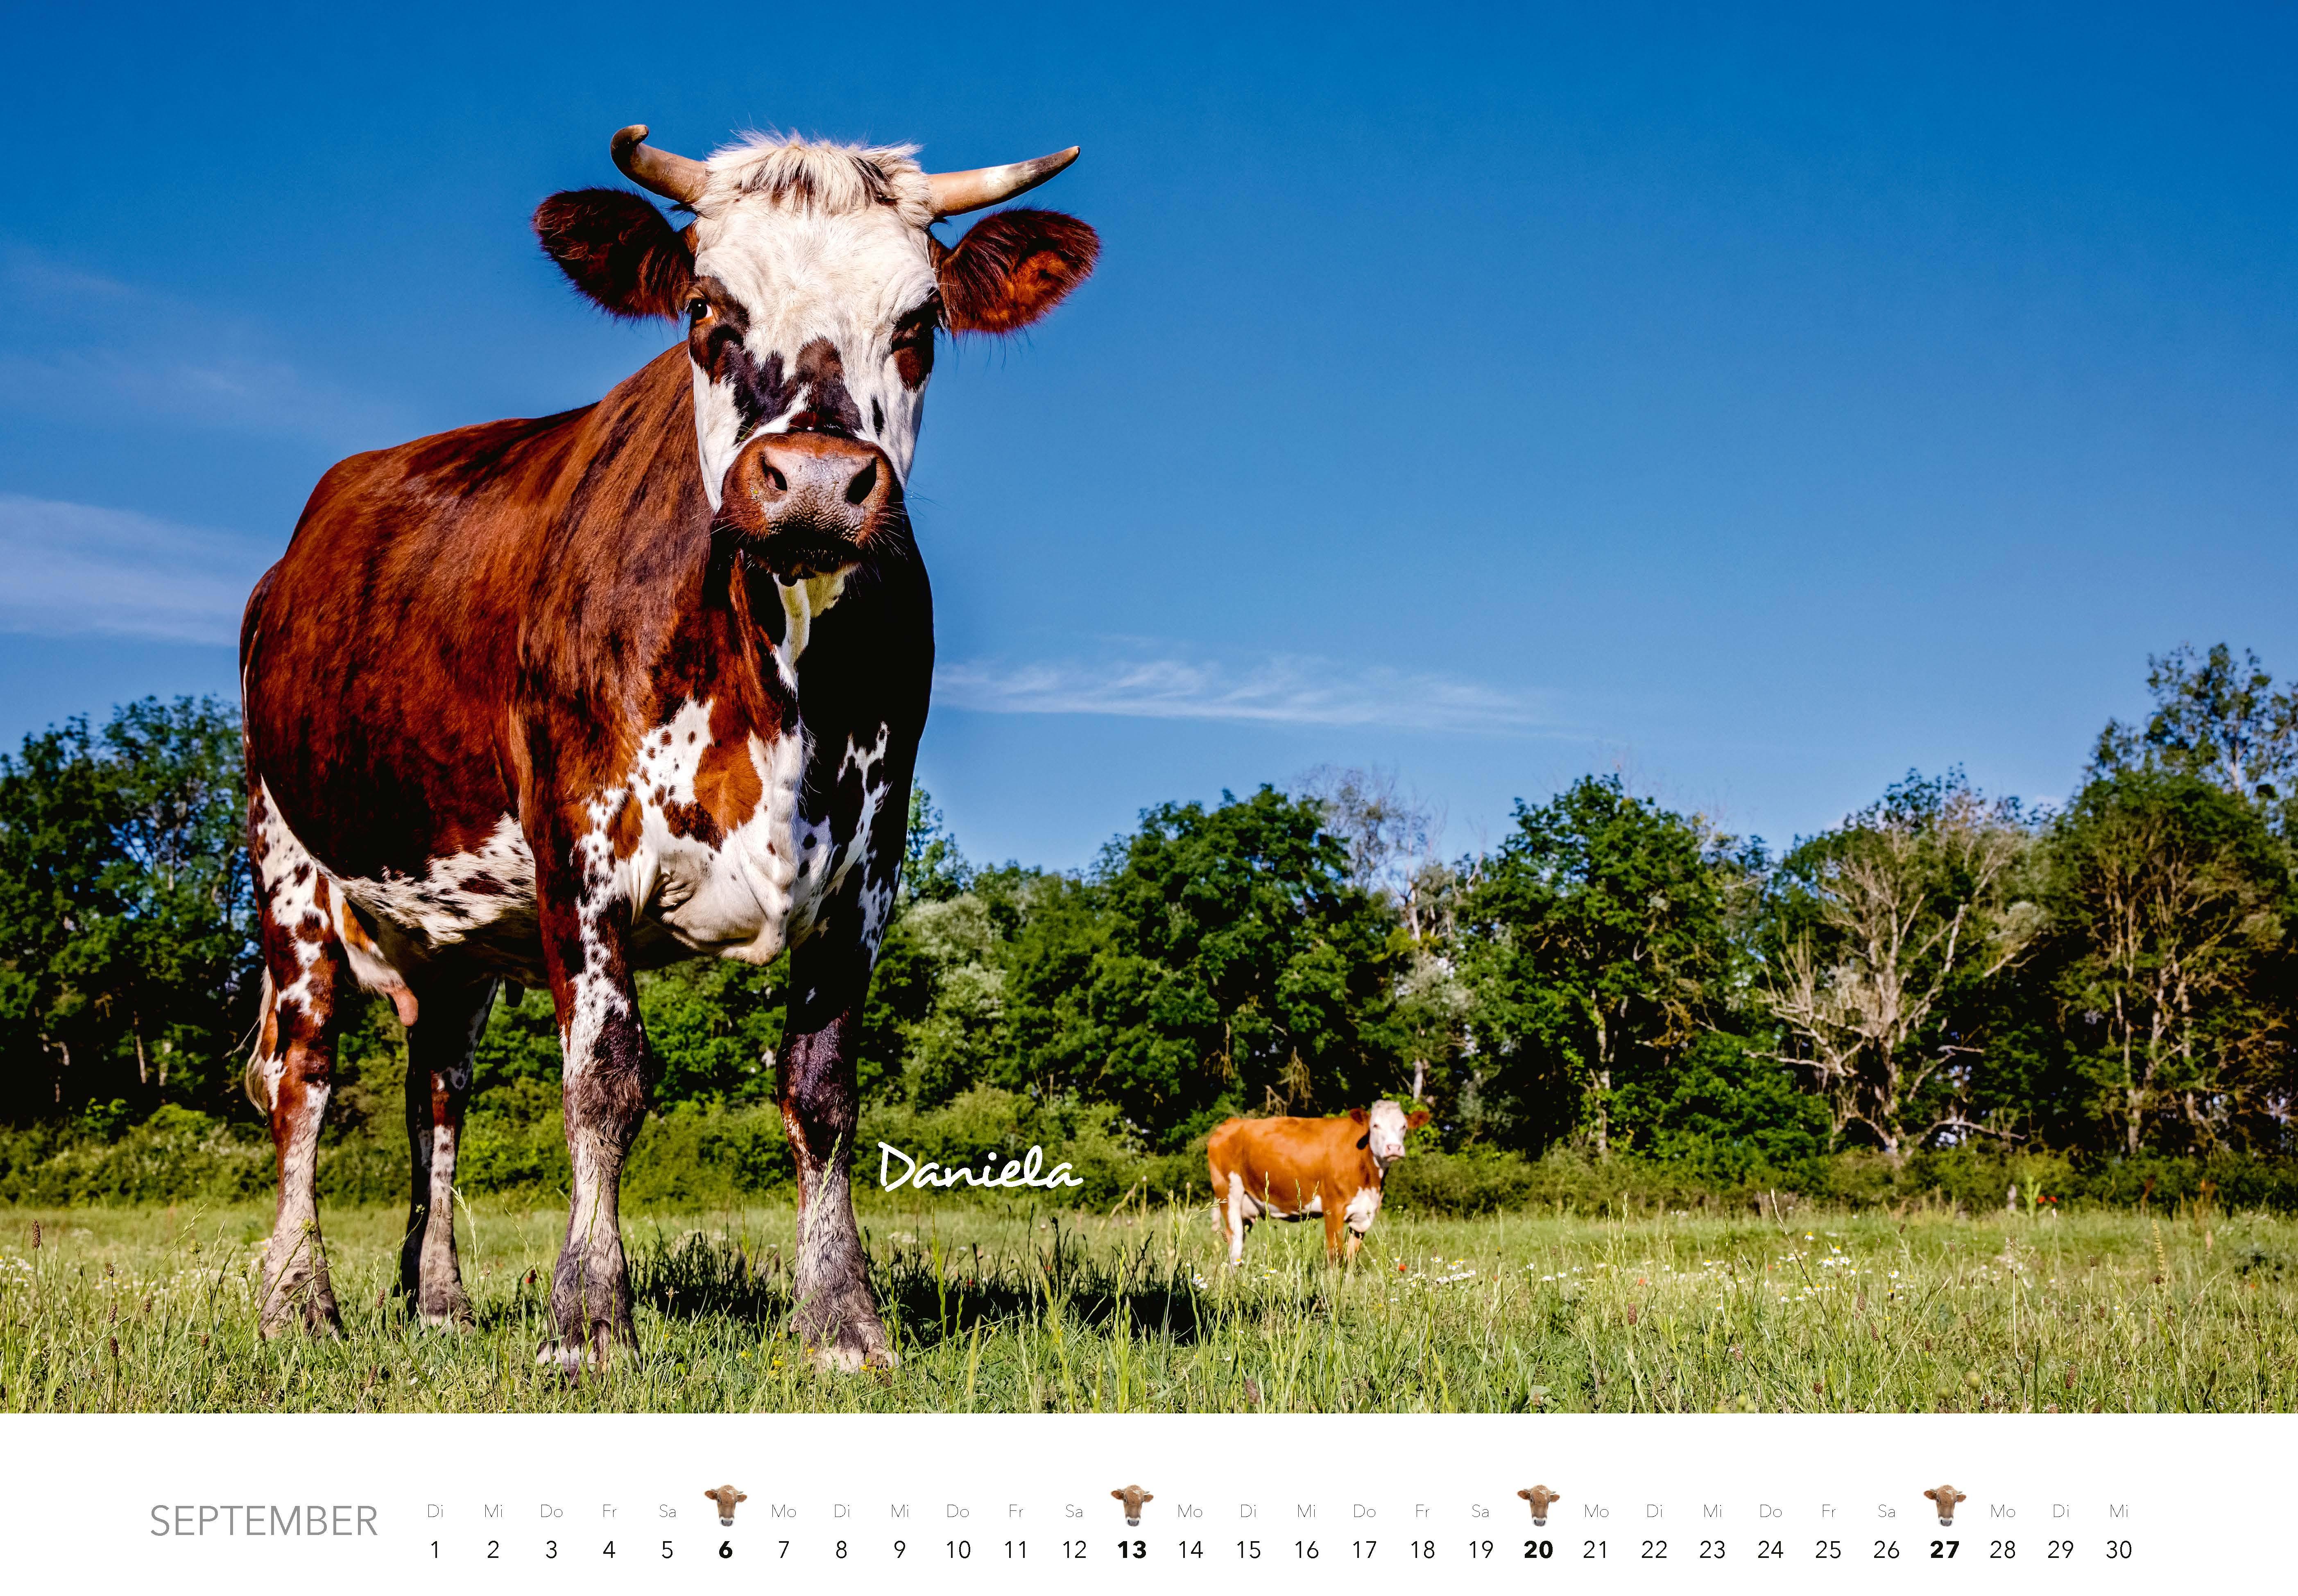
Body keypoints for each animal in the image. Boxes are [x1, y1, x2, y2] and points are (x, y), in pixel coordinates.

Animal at [238, 122, 1097, 1372]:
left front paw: (841, 1318)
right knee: (303, 1071)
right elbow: (603, 1081)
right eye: (705, 309)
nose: (817, 483)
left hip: (452, 931)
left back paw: (438, 1299)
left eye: (921, 321)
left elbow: (821, 1089)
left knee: (434, 1089)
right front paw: (591, 1317)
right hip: (288, 853)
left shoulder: (868, 865)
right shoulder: (578, 852)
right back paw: (298, 1301)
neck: (775, 660)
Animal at [1207, 1101, 1430, 1264]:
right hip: (1229, 1194)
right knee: (1235, 1243)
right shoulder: (1333, 1209)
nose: (1394, 1148)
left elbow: (1351, 1258)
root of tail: (1233, 1122)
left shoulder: (1363, 1215)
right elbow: (1335, 1255)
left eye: (1403, 1126)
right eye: (1375, 1125)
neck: (1370, 1179)